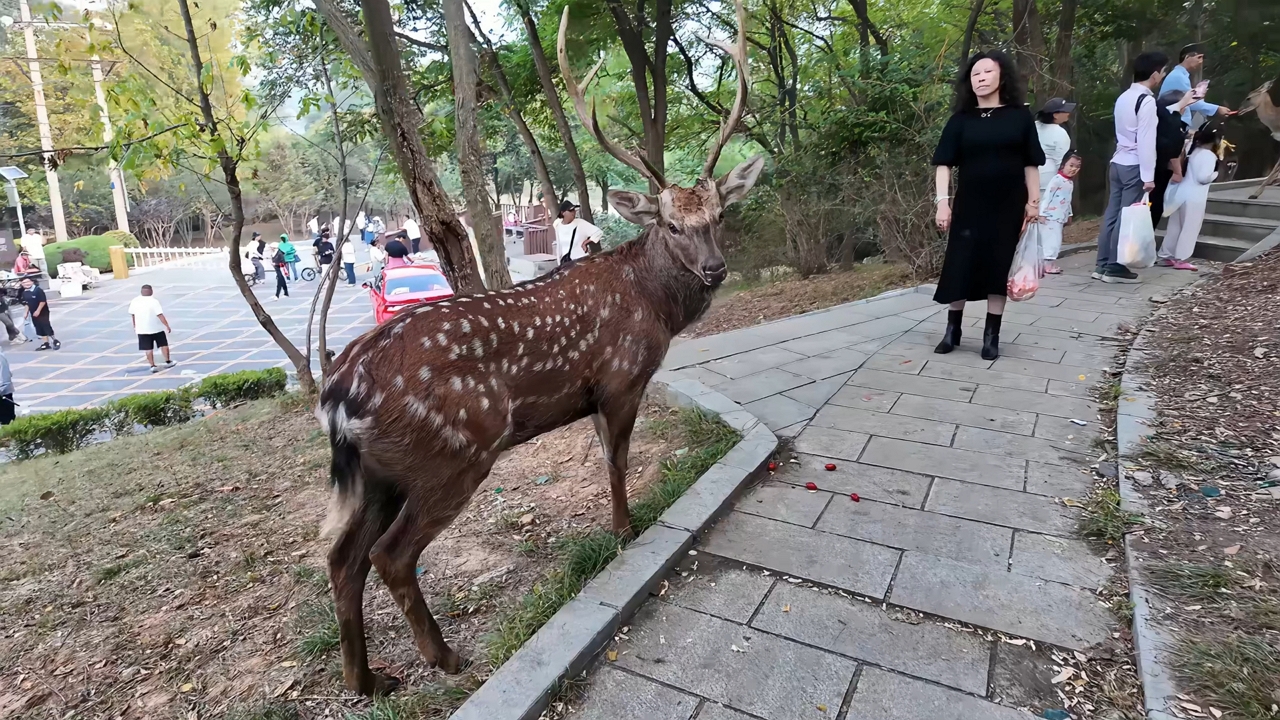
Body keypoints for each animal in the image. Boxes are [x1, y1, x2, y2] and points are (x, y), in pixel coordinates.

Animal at [314, 0, 760, 696]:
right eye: (669, 224)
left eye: (719, 216)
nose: (714, 269)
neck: (654, 307)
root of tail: (336, 395)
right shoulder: (620, 378)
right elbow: (617, 461)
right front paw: (625, 530)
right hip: (454, 452)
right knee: (390, 554)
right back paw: (445, 659)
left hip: (376, 473)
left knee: (342, 558)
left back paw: (369, 680)